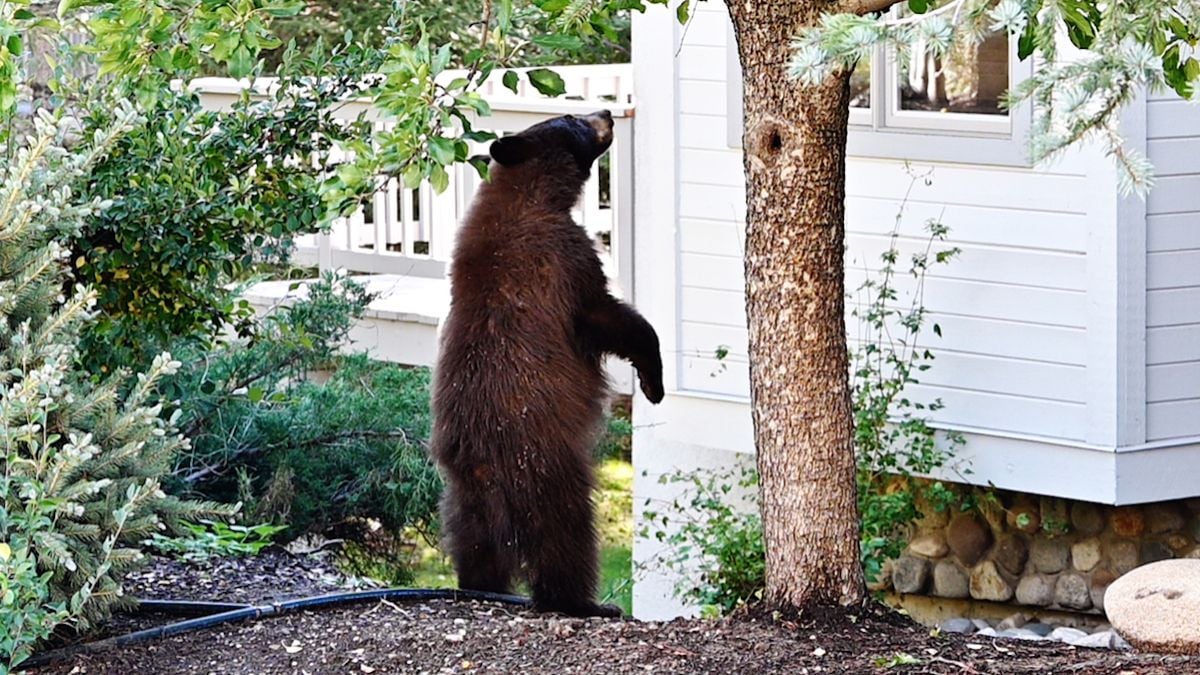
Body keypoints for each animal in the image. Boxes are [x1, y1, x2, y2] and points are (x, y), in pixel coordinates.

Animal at [429, 109, 667, 614]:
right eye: (571, 117)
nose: (606, 111)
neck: (529, 192)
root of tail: (483, 465)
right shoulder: (563, 257)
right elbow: (607, 315)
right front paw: (653, 381)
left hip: (461, 497)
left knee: (472, 544)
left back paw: (479, 585)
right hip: (547, 472)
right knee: (568, 540)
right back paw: (586, 603)